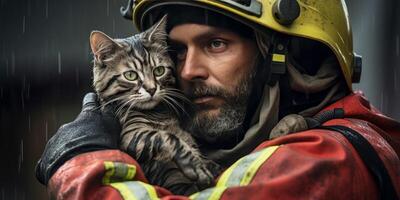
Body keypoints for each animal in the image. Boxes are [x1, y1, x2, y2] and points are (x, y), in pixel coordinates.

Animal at [89, 16, 220, 195]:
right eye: (131, 75)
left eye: (159, 71)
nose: (151, 89)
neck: (157, 112)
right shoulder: (130, 135)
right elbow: (169, 138)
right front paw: (195, 165)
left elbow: (188, 142)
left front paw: (205, 163)